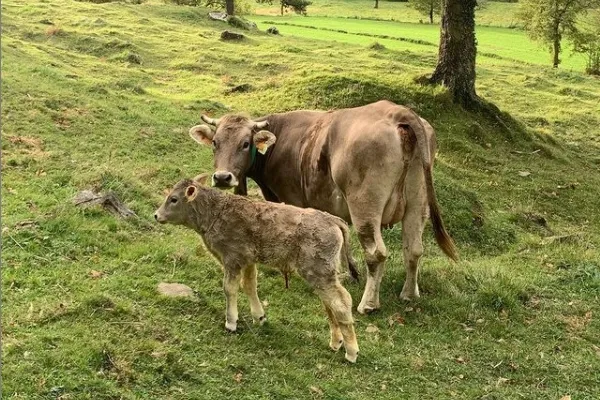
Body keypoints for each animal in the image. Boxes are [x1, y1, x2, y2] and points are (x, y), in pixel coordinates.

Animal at [156, 174, 360, 362]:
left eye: (173, 199)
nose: (156, 215)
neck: (215, 212)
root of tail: (332, 220)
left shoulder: (232, 259)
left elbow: (229, 289)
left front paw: (231, 322)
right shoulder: (248, 260)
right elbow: (249, 286)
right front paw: (259, 317)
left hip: (319, 273)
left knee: (341, 302)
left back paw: (351, 352)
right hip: (323, 275)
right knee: (329, 304)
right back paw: (336, 342)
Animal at [189, 100, 460, 316]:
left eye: (246, 143)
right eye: (215, 142)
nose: (222, 177)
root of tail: (398, 112)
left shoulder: (292, 199)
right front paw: (343, 272)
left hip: (365, 206)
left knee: (376, 253)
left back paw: (368, 304)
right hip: (417, 202)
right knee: (413, 249)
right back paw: (409, 293)